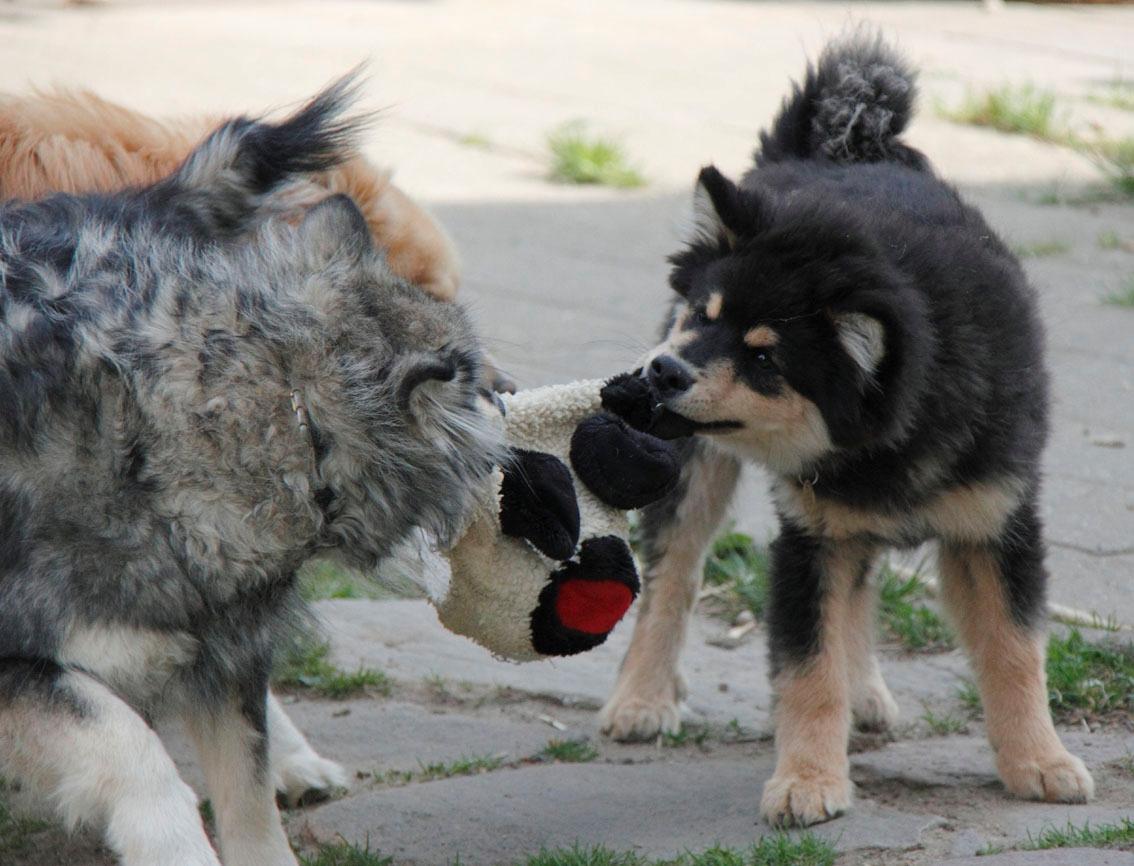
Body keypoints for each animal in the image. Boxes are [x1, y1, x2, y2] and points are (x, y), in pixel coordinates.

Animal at [0, 77, 505, 861]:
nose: (509, 388)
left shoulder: (217, 640)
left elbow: (246, 789)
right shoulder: (25, 665)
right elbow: (129, 746)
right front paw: (167, 837)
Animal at [598, 32, 1093, 825]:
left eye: (764, 357)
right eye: (703, 315)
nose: (664, 370)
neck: (893, 432)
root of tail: (825, 148)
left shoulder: (994, 525)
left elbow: (1016, 653)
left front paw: (1039, 762)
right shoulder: (811, 538)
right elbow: (809, 666)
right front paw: (807, 780)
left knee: (859, 592)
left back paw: (866, 694)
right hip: (701, 469)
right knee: (675, 575)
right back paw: (642, 697)